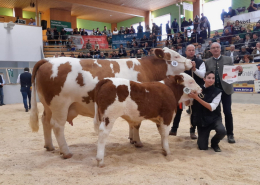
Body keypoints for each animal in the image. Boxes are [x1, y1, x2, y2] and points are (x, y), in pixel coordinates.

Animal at [29, 47, 193, 158]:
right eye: (176, 55)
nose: (191, 61)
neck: (146, 68)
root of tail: (48, 60)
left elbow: (132, 124)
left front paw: (132, 139)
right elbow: (137, 124)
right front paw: (138, 142)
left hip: (48, 106)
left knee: (45, 121)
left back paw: (49, 146)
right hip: (60, 105)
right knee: (57, 126)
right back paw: (66, 152)